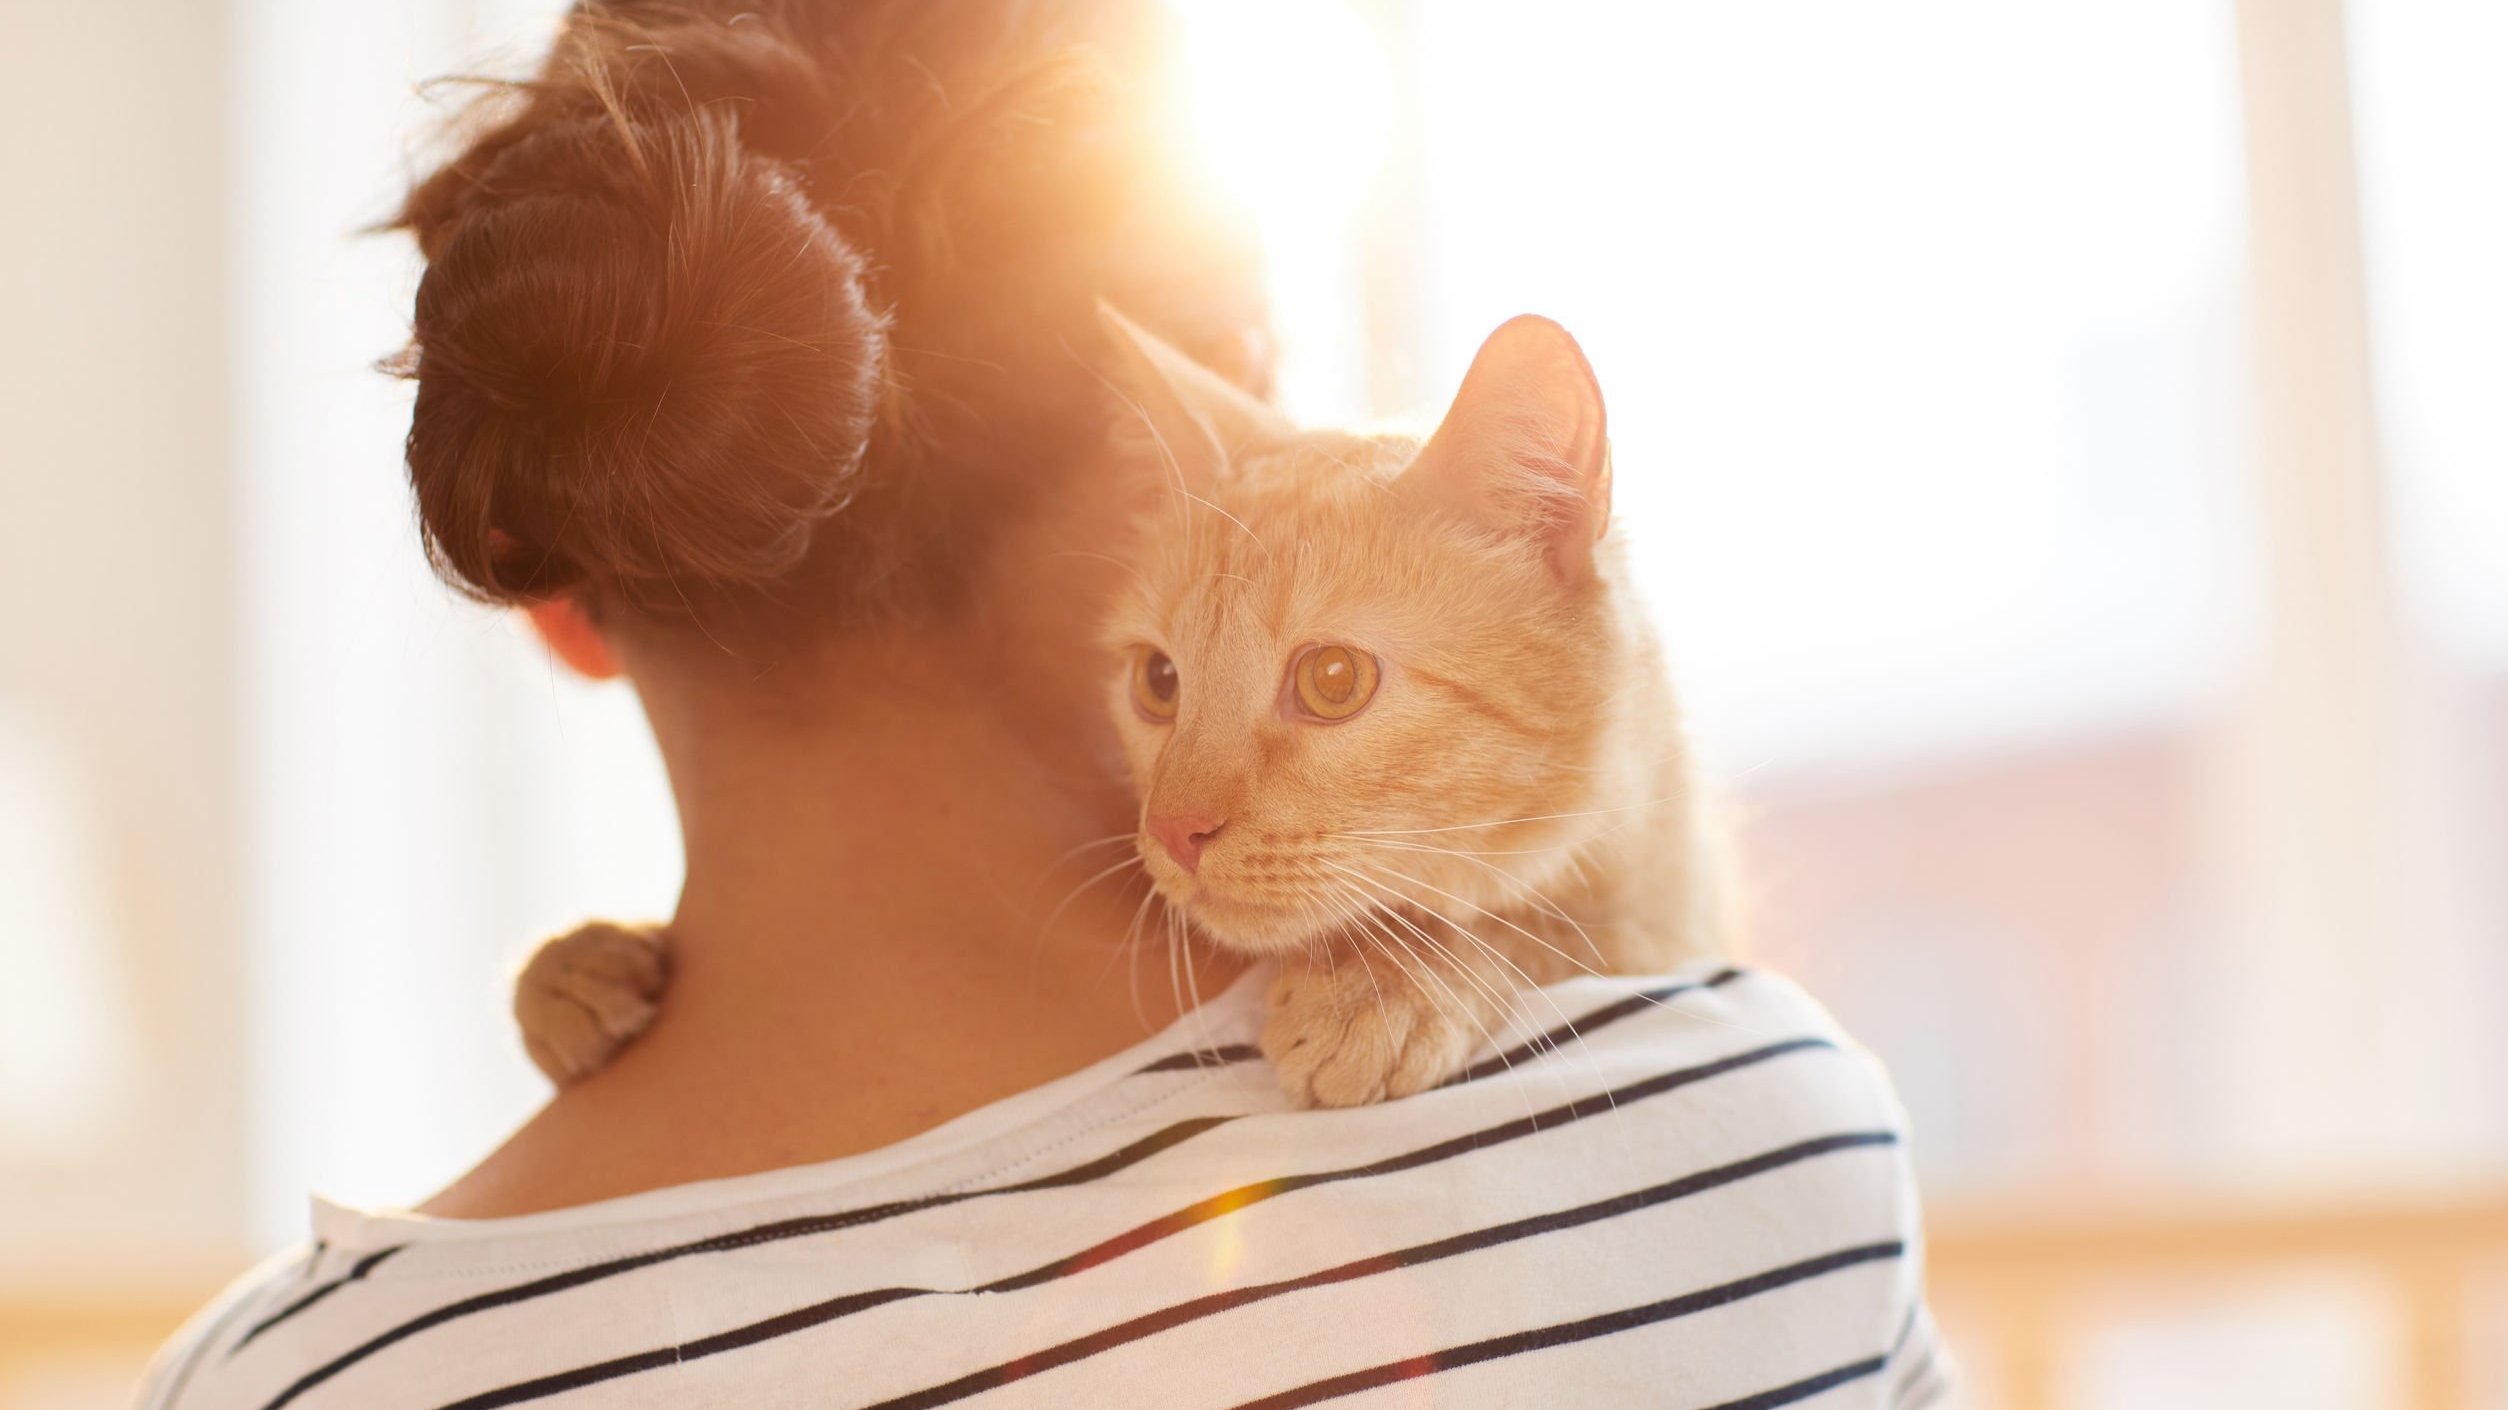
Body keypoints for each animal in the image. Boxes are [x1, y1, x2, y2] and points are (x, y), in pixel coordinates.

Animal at [509, 312, 1725, 1103]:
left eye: (1332, 681)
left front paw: (1395, 981)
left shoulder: (1664, 921)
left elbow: (1546, 925)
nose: (1175, 831)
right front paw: (581, 964)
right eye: (1160, 682)